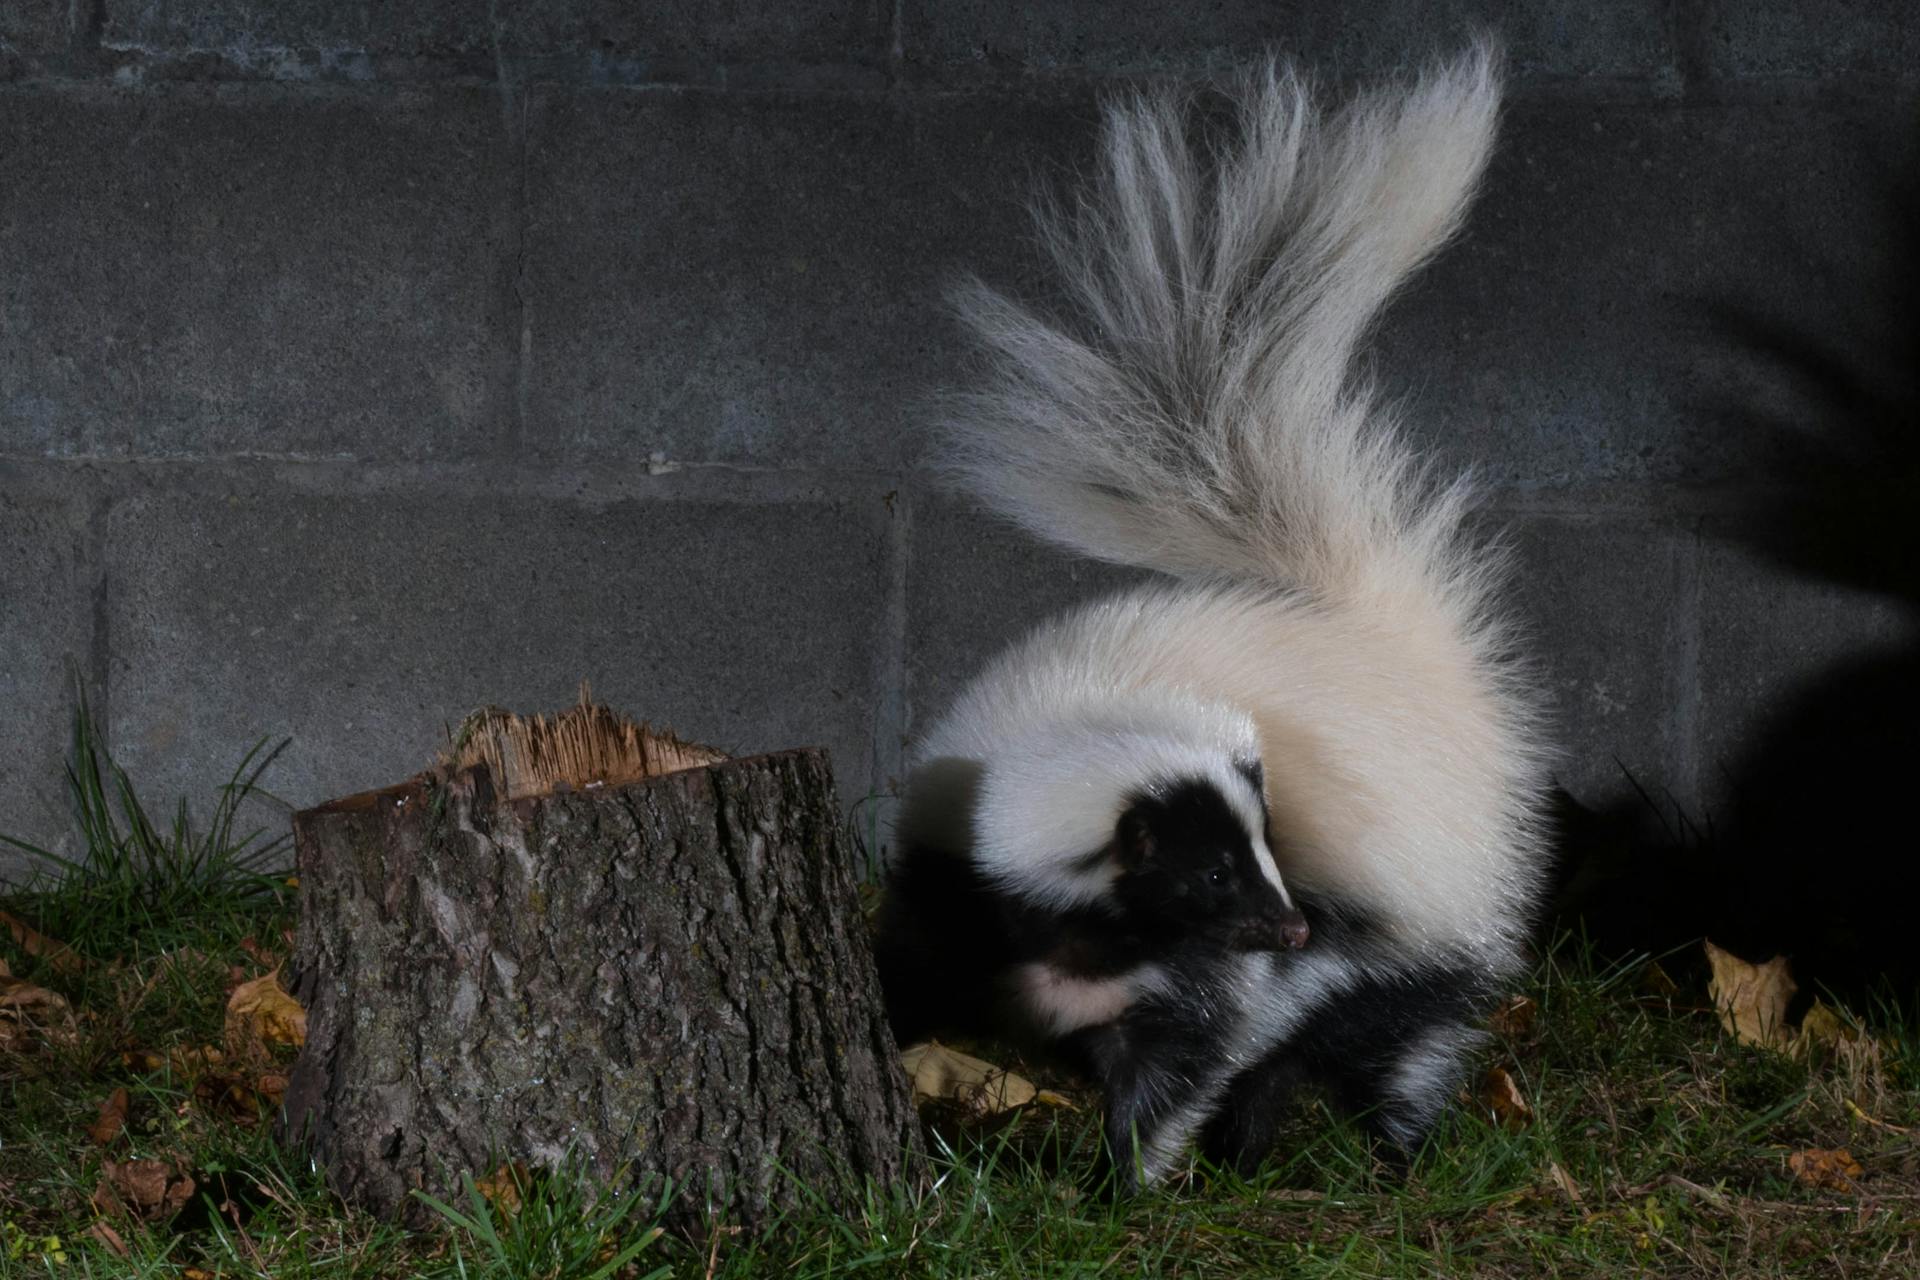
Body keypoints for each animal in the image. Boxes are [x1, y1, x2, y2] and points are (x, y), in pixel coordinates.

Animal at [879, 47, 1551, 1189]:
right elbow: (910, 980)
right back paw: (1259, 1153)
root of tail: (1403, 655)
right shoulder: (953, 894)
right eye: (1208, 870)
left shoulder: (1206, 979)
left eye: (1270, 846)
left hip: (1423, 921)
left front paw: (1120, 1186)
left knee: (1401, 1043)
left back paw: (1390, 1158)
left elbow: (1187, 1057)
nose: (1290, 925)